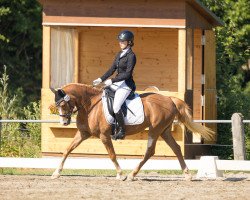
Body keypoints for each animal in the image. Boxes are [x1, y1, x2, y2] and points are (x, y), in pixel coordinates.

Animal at [49, 83, 214, 180]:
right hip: (164, 131)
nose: (64, 123)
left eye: (62, 104)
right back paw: (187, 175)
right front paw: (56, 172)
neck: (90, 105)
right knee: (176, 148)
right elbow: (67, 150)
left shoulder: (104, 136)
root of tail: (170, 99)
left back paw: (131, 174)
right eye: (57, 106)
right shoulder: (83, 134)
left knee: (150, 151)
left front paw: (120, 174)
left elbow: (112, 155)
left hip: (155, 129)